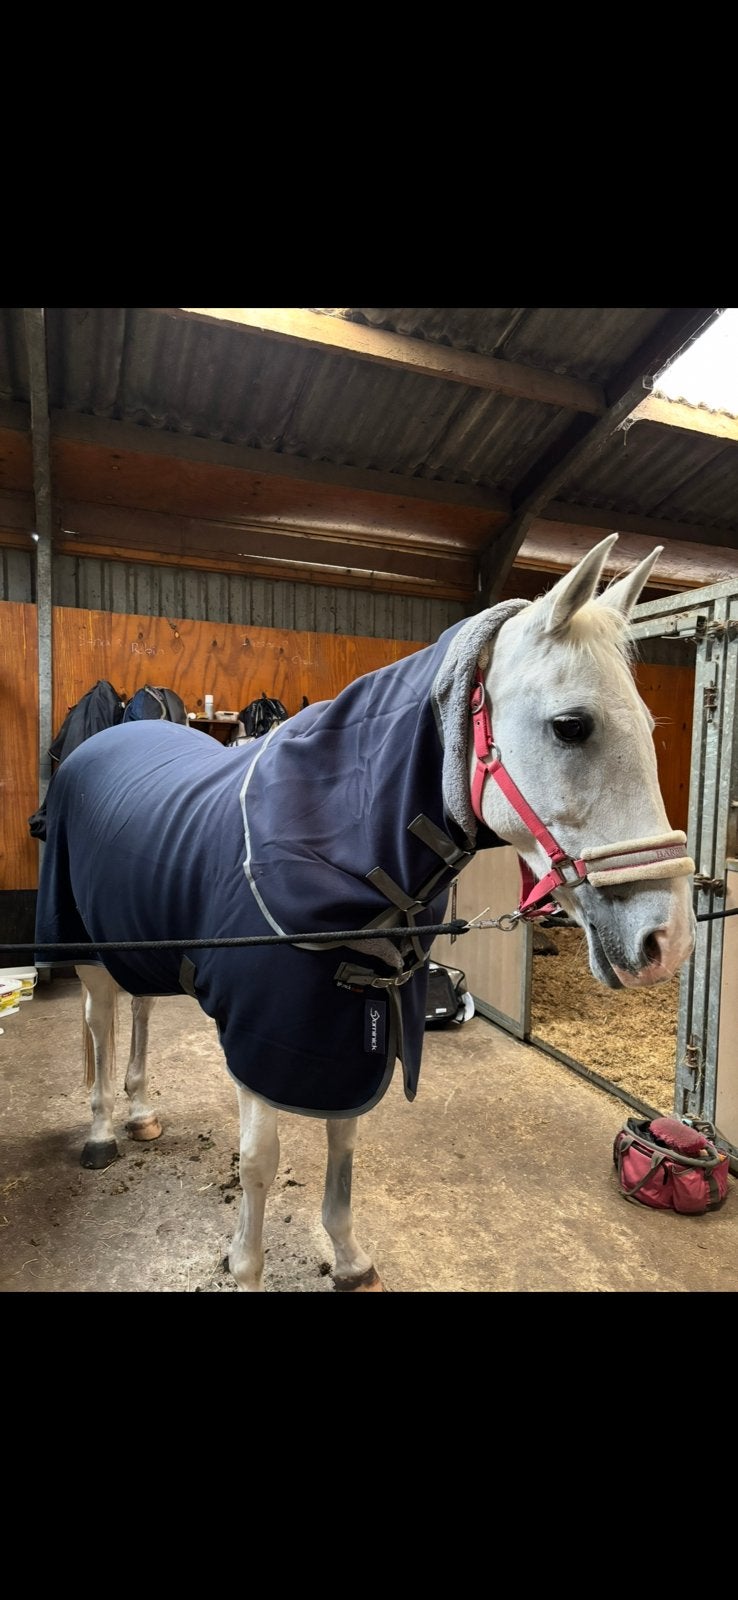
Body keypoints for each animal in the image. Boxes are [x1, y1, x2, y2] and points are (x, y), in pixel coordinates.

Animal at [35, 534, 697, 1291]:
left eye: (647, 725)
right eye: (571, 726)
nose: (669, 941)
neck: (332, 851)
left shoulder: (344, 1033)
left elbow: (344, 1143)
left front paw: (348, 1257)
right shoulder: (261, 1038)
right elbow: (259, 1161)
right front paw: (245, 1266)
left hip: (143, 941)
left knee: (140, 1010)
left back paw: (141, 1112)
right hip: (85, 950)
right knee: (99, 1023)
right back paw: (100, 1132)